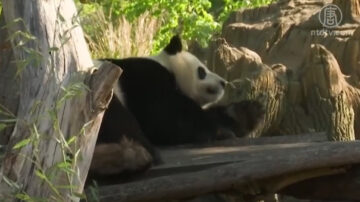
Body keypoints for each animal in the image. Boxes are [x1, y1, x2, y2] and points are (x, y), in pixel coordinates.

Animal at [89, 35, 264, 183]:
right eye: (202, 71)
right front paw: (219, 131)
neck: (168, 66)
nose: (222, 83)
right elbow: (165, 117)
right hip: (101, 91)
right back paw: (135, 156)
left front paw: (247, 113)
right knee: (117, 120)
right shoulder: (146, 78)